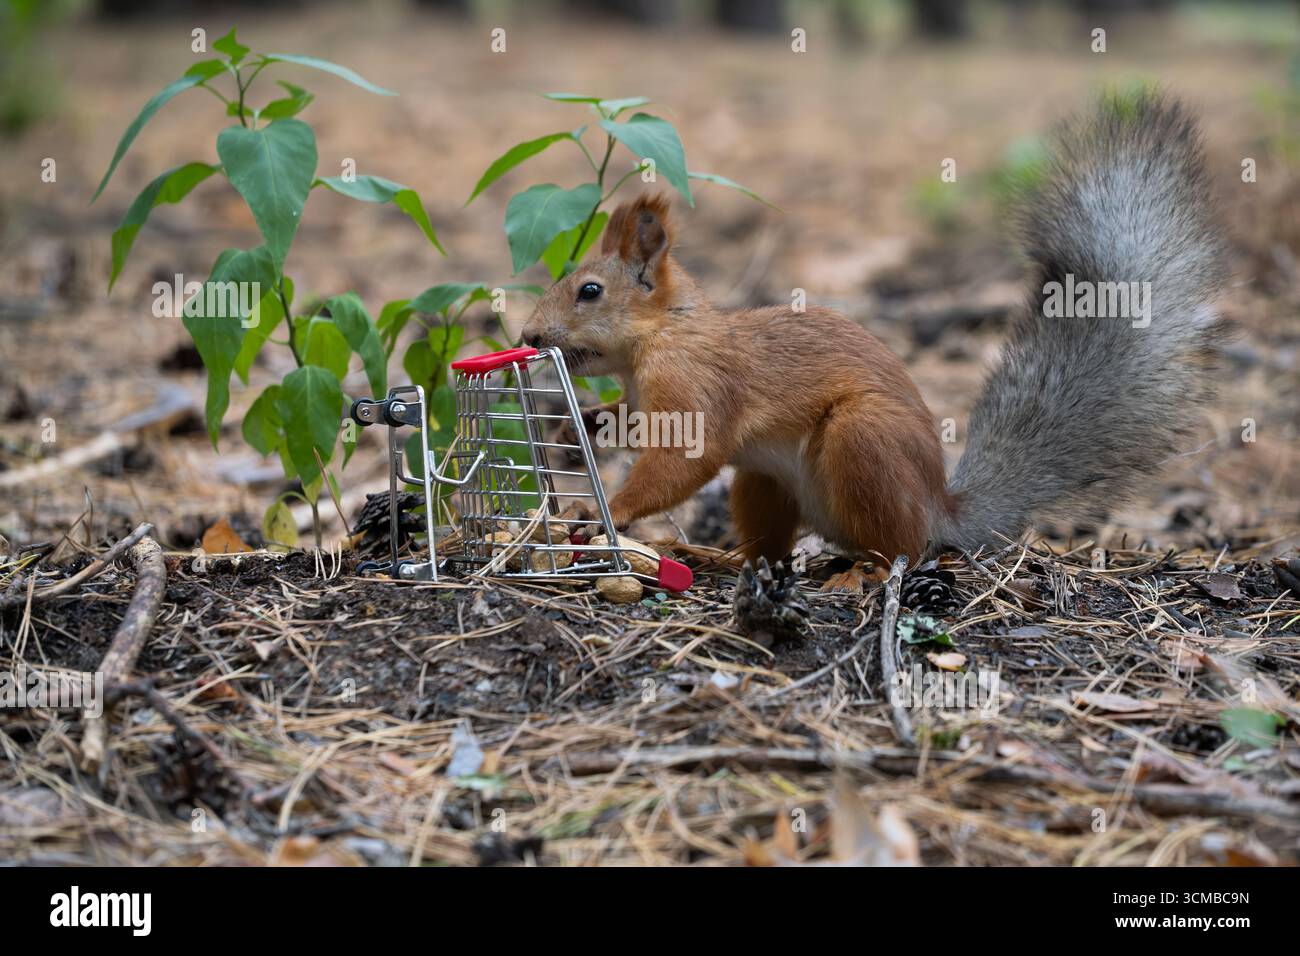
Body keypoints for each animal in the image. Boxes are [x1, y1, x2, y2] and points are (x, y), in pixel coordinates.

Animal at [521, 91, 1229, 565]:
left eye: (589, 291)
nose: (529, 338)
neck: (661, 336)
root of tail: (940, 511)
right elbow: (630, 424)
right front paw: (588, 426)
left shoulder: (697, 384)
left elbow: (684, 458)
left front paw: (608, 511)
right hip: (765, 481)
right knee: (777, 540)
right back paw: (733, 557)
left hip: (862, 440)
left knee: (896, 550)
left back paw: (859, 575)